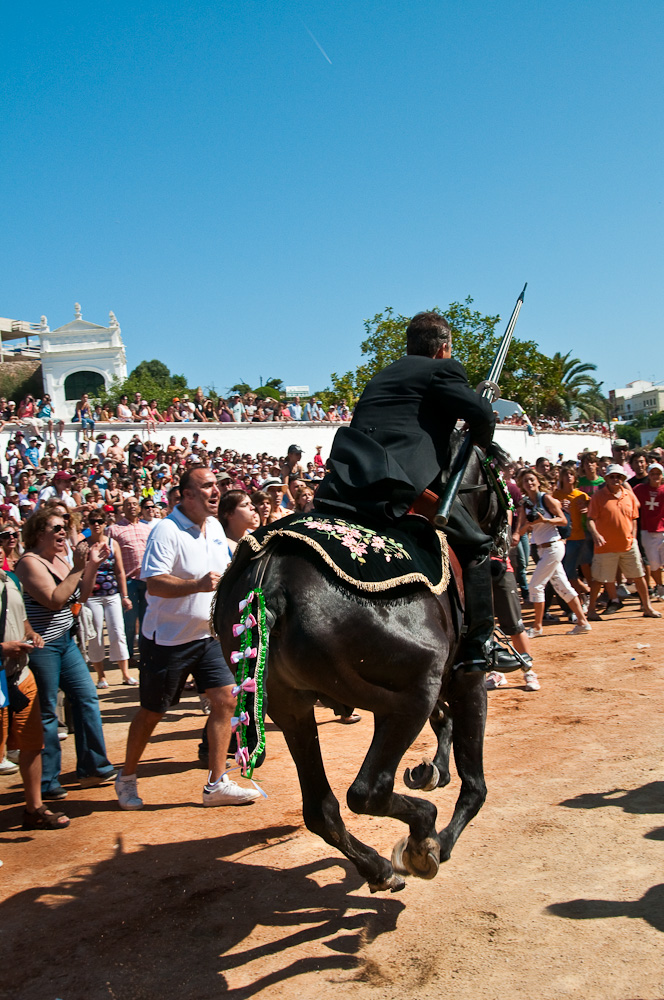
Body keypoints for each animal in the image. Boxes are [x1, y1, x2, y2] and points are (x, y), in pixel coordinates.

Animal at [215, 438, 506, 892]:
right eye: (500, 468)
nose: (507, 533)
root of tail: (270, 578)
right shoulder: (464, 680)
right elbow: (474, 785)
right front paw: (438, 839)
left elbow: (445, 729)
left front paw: (431, 771)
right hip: (410, 696)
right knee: (368, 791)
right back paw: (421, 838)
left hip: (290, 707)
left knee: (322, 808)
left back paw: (378, 867)